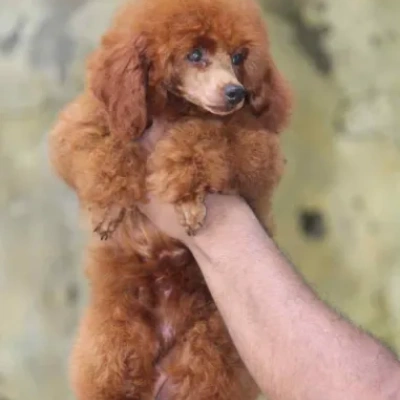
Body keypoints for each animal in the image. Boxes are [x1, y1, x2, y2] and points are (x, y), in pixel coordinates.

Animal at [49, 0, 290, 398]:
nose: (236, 93)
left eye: (239, 57)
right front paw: (111, 205)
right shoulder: (83, 124)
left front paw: (187, 197)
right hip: (116, 337)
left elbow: (204, 138)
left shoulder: (257, 152)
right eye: (194, 54)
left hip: (209, 349)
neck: (176, 109)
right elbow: (104, 147)